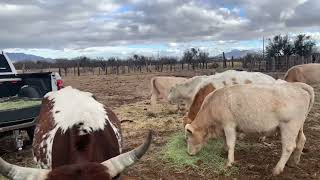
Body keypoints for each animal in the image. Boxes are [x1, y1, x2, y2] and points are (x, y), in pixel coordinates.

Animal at [186, 82, 314, 175]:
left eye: (187, 138)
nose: (189, 154)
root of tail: (297, 86)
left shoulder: (229, 125)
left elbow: (230, 143)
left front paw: (229, 162)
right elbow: (225, 141)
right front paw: (224, 151)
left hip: (289, 126)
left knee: (288, 147)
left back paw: (277, 169)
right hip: (298, 127)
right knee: (301, 140)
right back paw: (293, 162)